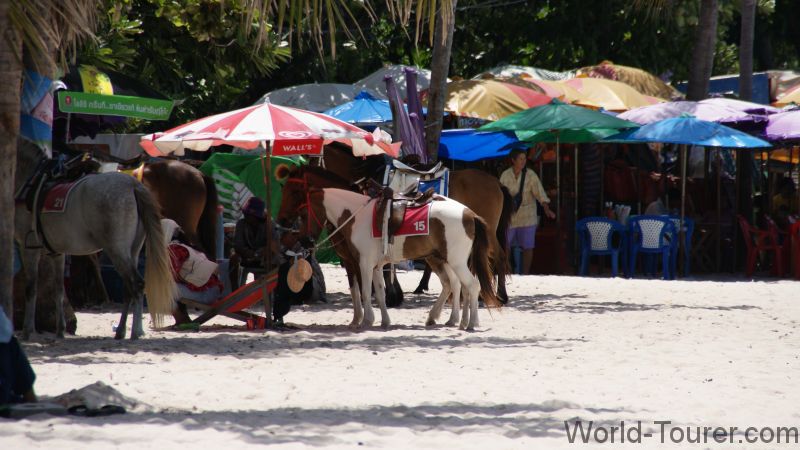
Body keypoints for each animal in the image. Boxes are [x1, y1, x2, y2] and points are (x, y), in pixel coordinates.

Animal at [15, 141, 176, 340]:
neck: (32, 182)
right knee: (129, 289)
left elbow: (31, 288)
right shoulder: (57, 252)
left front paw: (27, 331)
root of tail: (132, 185)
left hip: (117, 250)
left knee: (136, 285)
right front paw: (60, 330)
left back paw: (135, 331)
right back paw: (121, 330)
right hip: (133, 251)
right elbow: (59, 289)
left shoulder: (28, 248)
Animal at [278, 166, 501, 330]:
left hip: (455, 261)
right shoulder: (373, 265)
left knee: (472, 285)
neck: (356, 215)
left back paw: (470, 323)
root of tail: (470, 214)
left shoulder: (363, 264)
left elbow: (364, 292)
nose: (283, 221)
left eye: (294, 192)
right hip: (445, 259)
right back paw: (454, 320)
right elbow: (378, 292)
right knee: (457, 284)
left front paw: (366, 320)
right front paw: (383, 321)